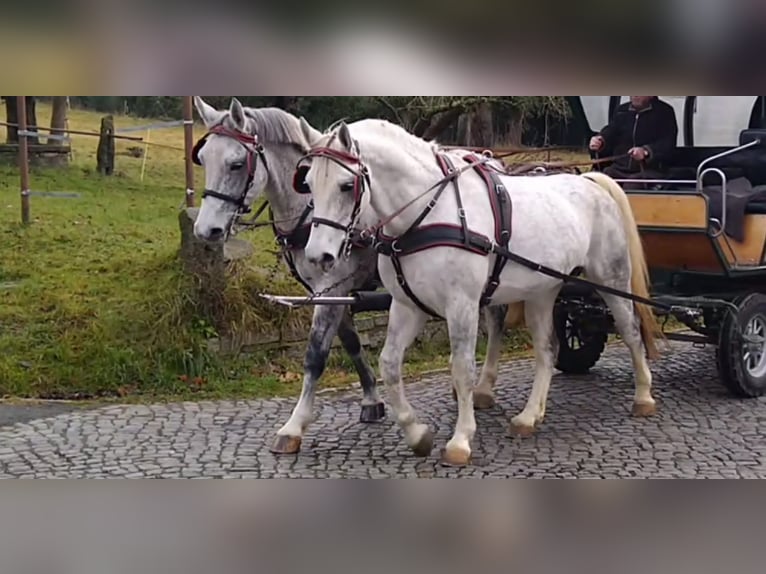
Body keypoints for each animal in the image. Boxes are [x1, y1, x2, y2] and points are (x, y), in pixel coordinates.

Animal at [298, 117, 661, 467]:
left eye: (347, 186)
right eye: (309, 183)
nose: (318, 256)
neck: (428, 212)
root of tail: (590, 181)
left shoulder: (462, 305)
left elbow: (462, 369)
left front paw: (460, 441)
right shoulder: (406, 306)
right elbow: (389, 364)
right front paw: (417, 434)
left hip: (612, 278)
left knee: (630, 330)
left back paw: (643, 396)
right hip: (543, 290)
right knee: (547, 350)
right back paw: (529, 416)